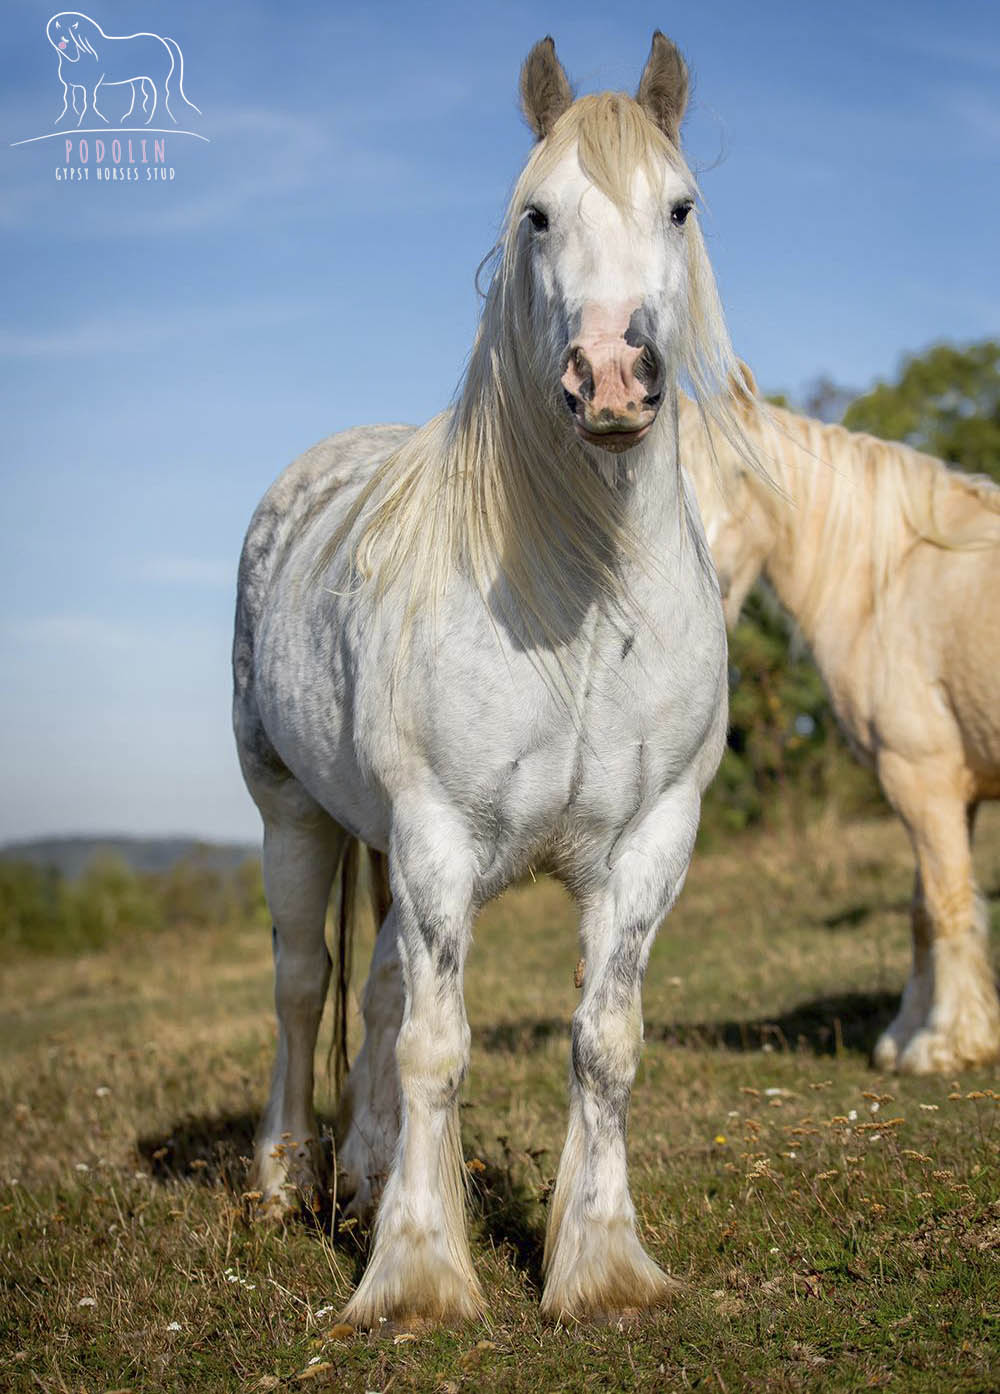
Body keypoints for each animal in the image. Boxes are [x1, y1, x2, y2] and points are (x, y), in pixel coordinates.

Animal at [230, 27, 753, 1321]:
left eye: (680, 206)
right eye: (536, 214)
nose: (611, 376)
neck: (582, 603)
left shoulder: (649, 842)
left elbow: (601, 1040)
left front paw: (600, 1259)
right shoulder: (435, 836)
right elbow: (436, 1046)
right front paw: (417, 1275)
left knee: (372, 991)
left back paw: (362, 1176)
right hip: (293, 814)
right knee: (303, 984)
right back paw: (284, 1179)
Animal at [683, 379, 998, 1076]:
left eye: (741, 474)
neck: (889, 579)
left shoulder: (922, 778)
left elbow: (947, 905)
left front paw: (945, 1045)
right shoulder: (936, 790)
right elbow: (921, 911)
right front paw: (905, 1035)